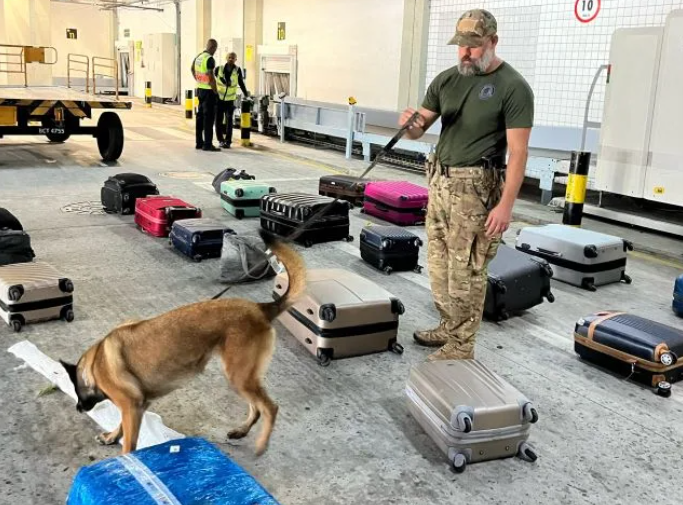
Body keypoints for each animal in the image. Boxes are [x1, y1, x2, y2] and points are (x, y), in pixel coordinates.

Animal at [61, 230, 308, 454]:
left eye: (76, 389)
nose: (78, 408)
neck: (95, 363)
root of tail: (261, 308)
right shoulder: (138, 406)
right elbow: (122, 426)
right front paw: (112, 436)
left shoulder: (131, 406)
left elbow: (129, 445)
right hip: (242, 377)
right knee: (256, 408)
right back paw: (241, 431)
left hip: (240, 376)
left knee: (270, 408)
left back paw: (261, 444)